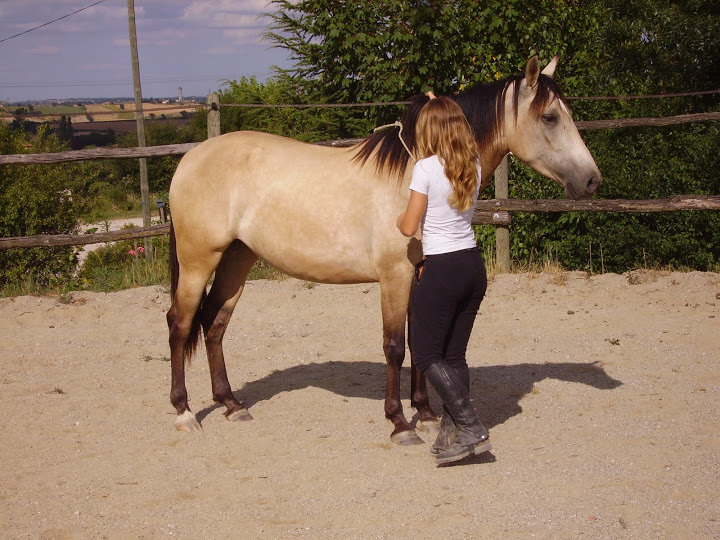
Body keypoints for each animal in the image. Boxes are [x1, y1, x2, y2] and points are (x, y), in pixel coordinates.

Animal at [165, 53, 600, 442]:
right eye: (549, 117)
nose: (592, 180)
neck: (416, 175)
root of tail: (191, 158)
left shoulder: (421, 276)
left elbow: (420, 342)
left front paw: (426, 415)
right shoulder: (395, 276)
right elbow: (394, 348)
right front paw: (400, 423)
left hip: (237, 258)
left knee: (214, 323)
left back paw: (231, 404)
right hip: (198, 261)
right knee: (180, 324)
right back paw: (184, 412)